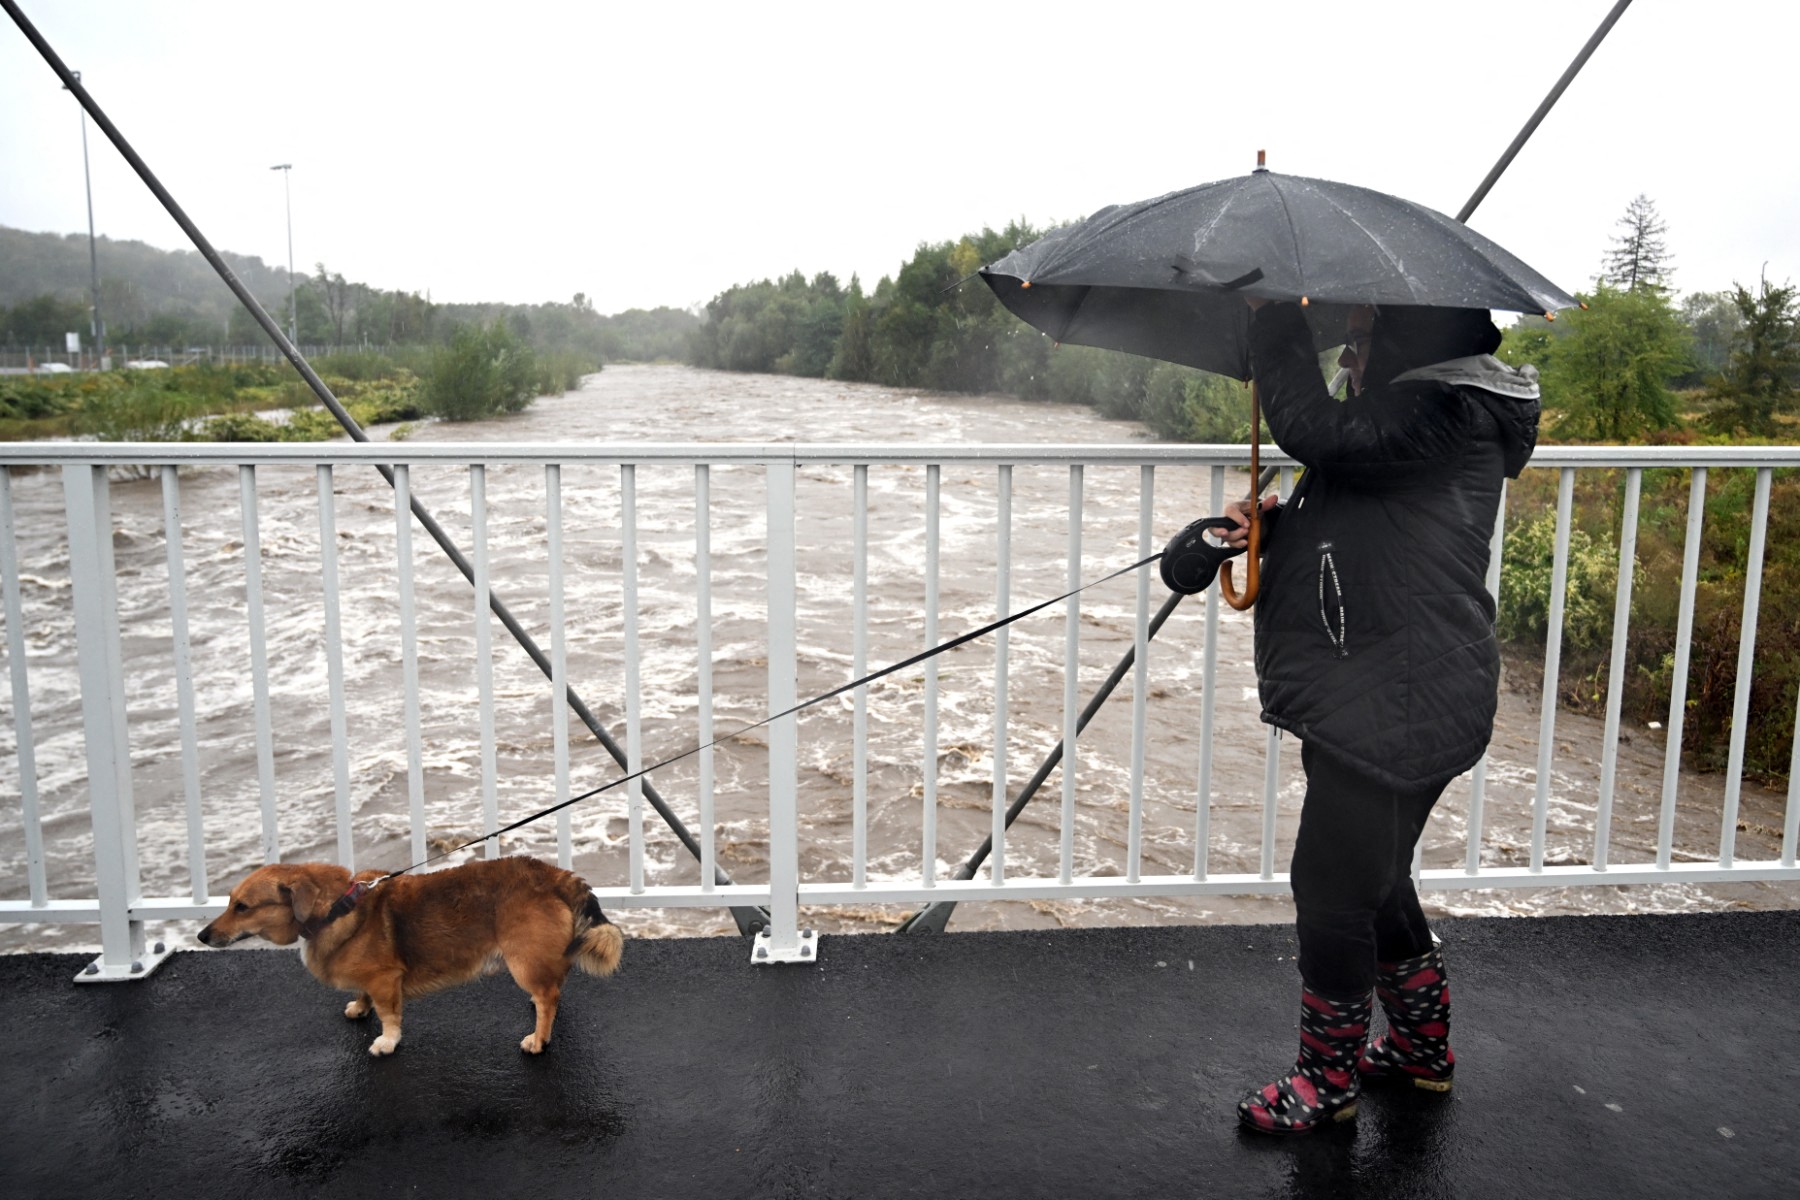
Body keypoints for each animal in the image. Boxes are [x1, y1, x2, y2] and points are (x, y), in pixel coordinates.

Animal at [197, 859, 626, 1057]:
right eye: (230, 902)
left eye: (242, 907)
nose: (201, 936)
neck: (335, 908)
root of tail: (556, 875)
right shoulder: (370, 979)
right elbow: (365, 996)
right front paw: (359, 1007)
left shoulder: (386, 980)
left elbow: (389, 1016)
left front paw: (386, 1042)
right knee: (553, 988)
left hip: (522, 959)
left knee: (548, 997)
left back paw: (538, 1038)